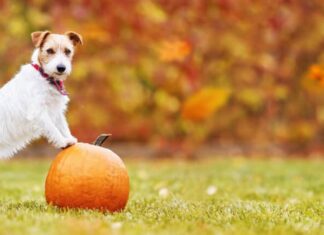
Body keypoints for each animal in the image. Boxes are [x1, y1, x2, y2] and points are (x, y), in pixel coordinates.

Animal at [0, 29, 83, 158]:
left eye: (68, 51)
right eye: (49, 50)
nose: (61, 68)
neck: (45, 77)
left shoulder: (56, 110)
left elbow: (63, 126)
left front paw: (69, 138)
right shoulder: (38, 112)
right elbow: (53, 129)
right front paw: (63, 141)